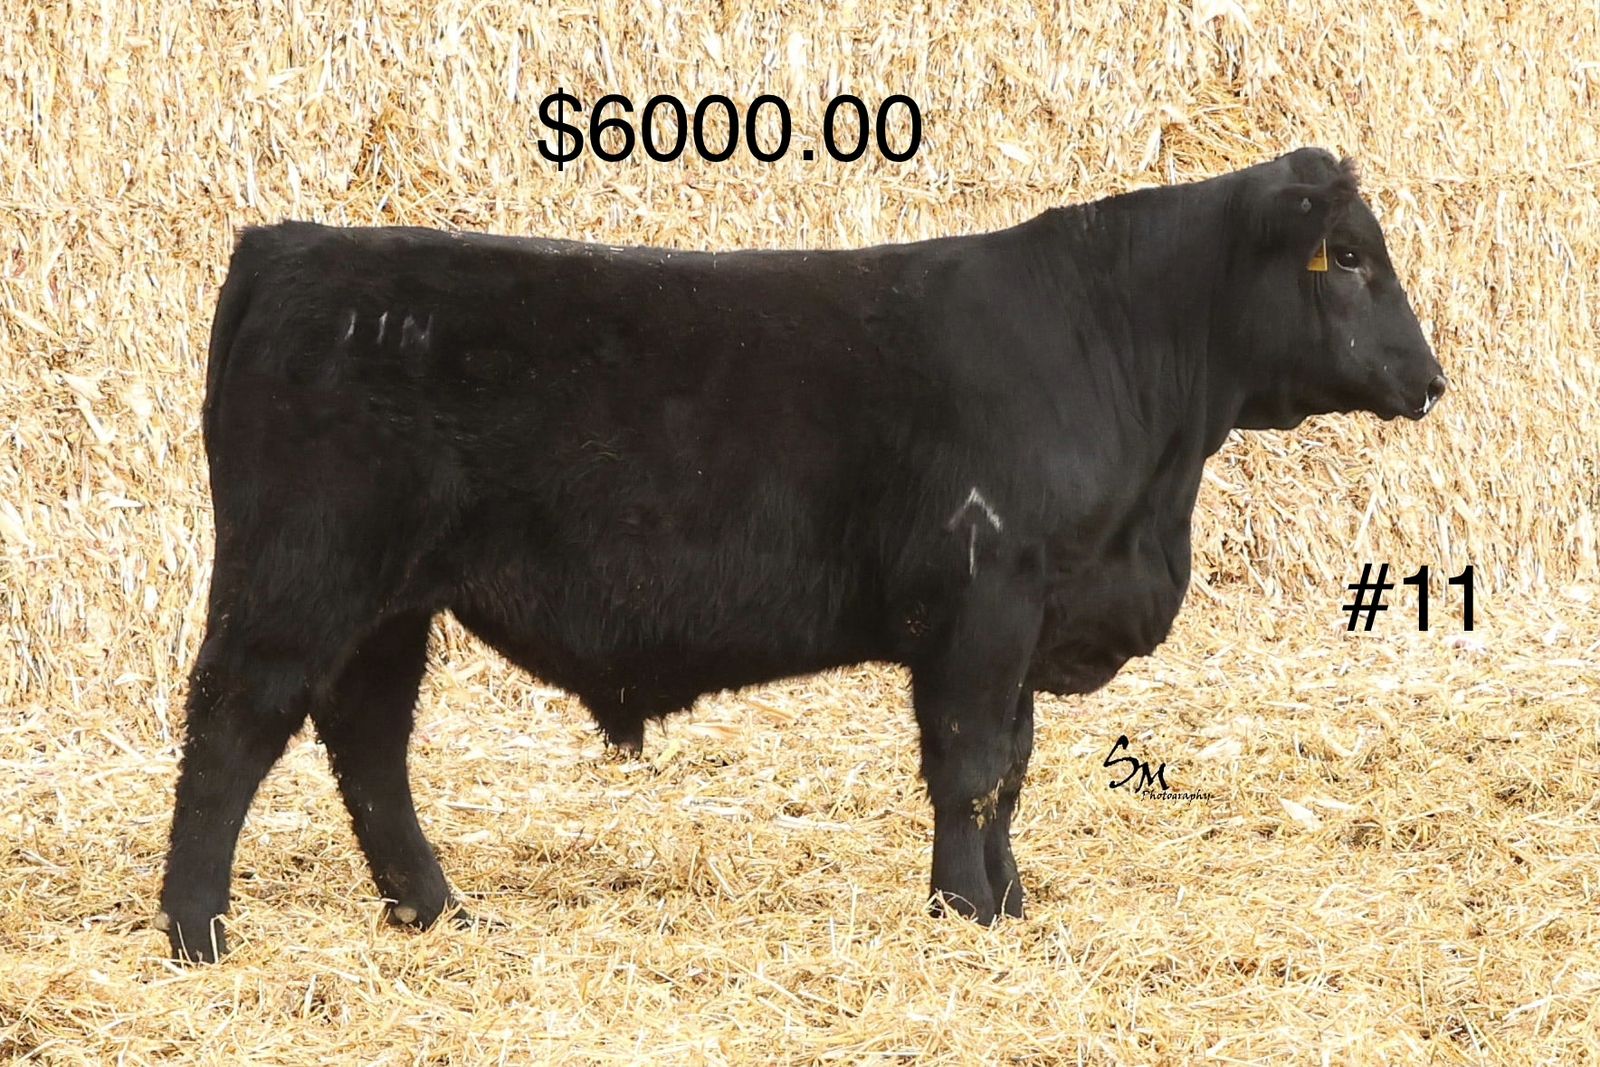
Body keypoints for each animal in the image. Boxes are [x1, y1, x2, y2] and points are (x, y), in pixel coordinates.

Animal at [157, 147, 1446, 961]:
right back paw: (196, 929)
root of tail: (288, 247)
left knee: (366, 740)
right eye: (1349, 258)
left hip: (388, 601)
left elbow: (1013, 768)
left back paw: (435, 911)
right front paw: (965, 912)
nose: (1429, 379)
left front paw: (1010, 902)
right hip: (301, 575)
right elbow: (971, 765)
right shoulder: (983, 600)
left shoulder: (1026, 615)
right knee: (233, 722)